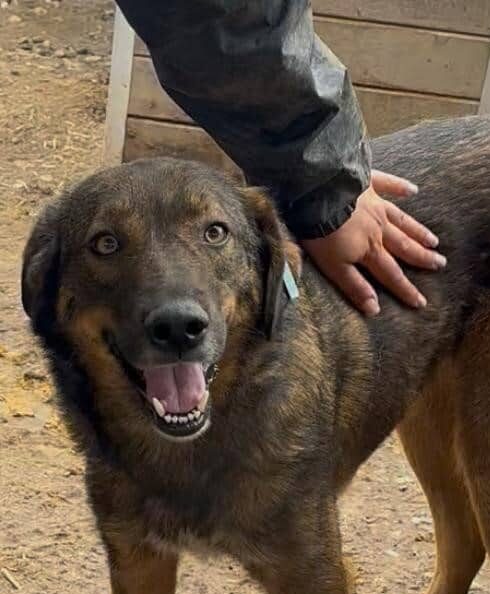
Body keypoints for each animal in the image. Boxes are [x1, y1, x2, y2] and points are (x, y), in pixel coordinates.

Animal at [22, 116, 490, 594]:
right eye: (105, 243)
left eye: (215, 232)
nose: (178, 327)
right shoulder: (138, 557)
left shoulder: (313, 570)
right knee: (465, 544)